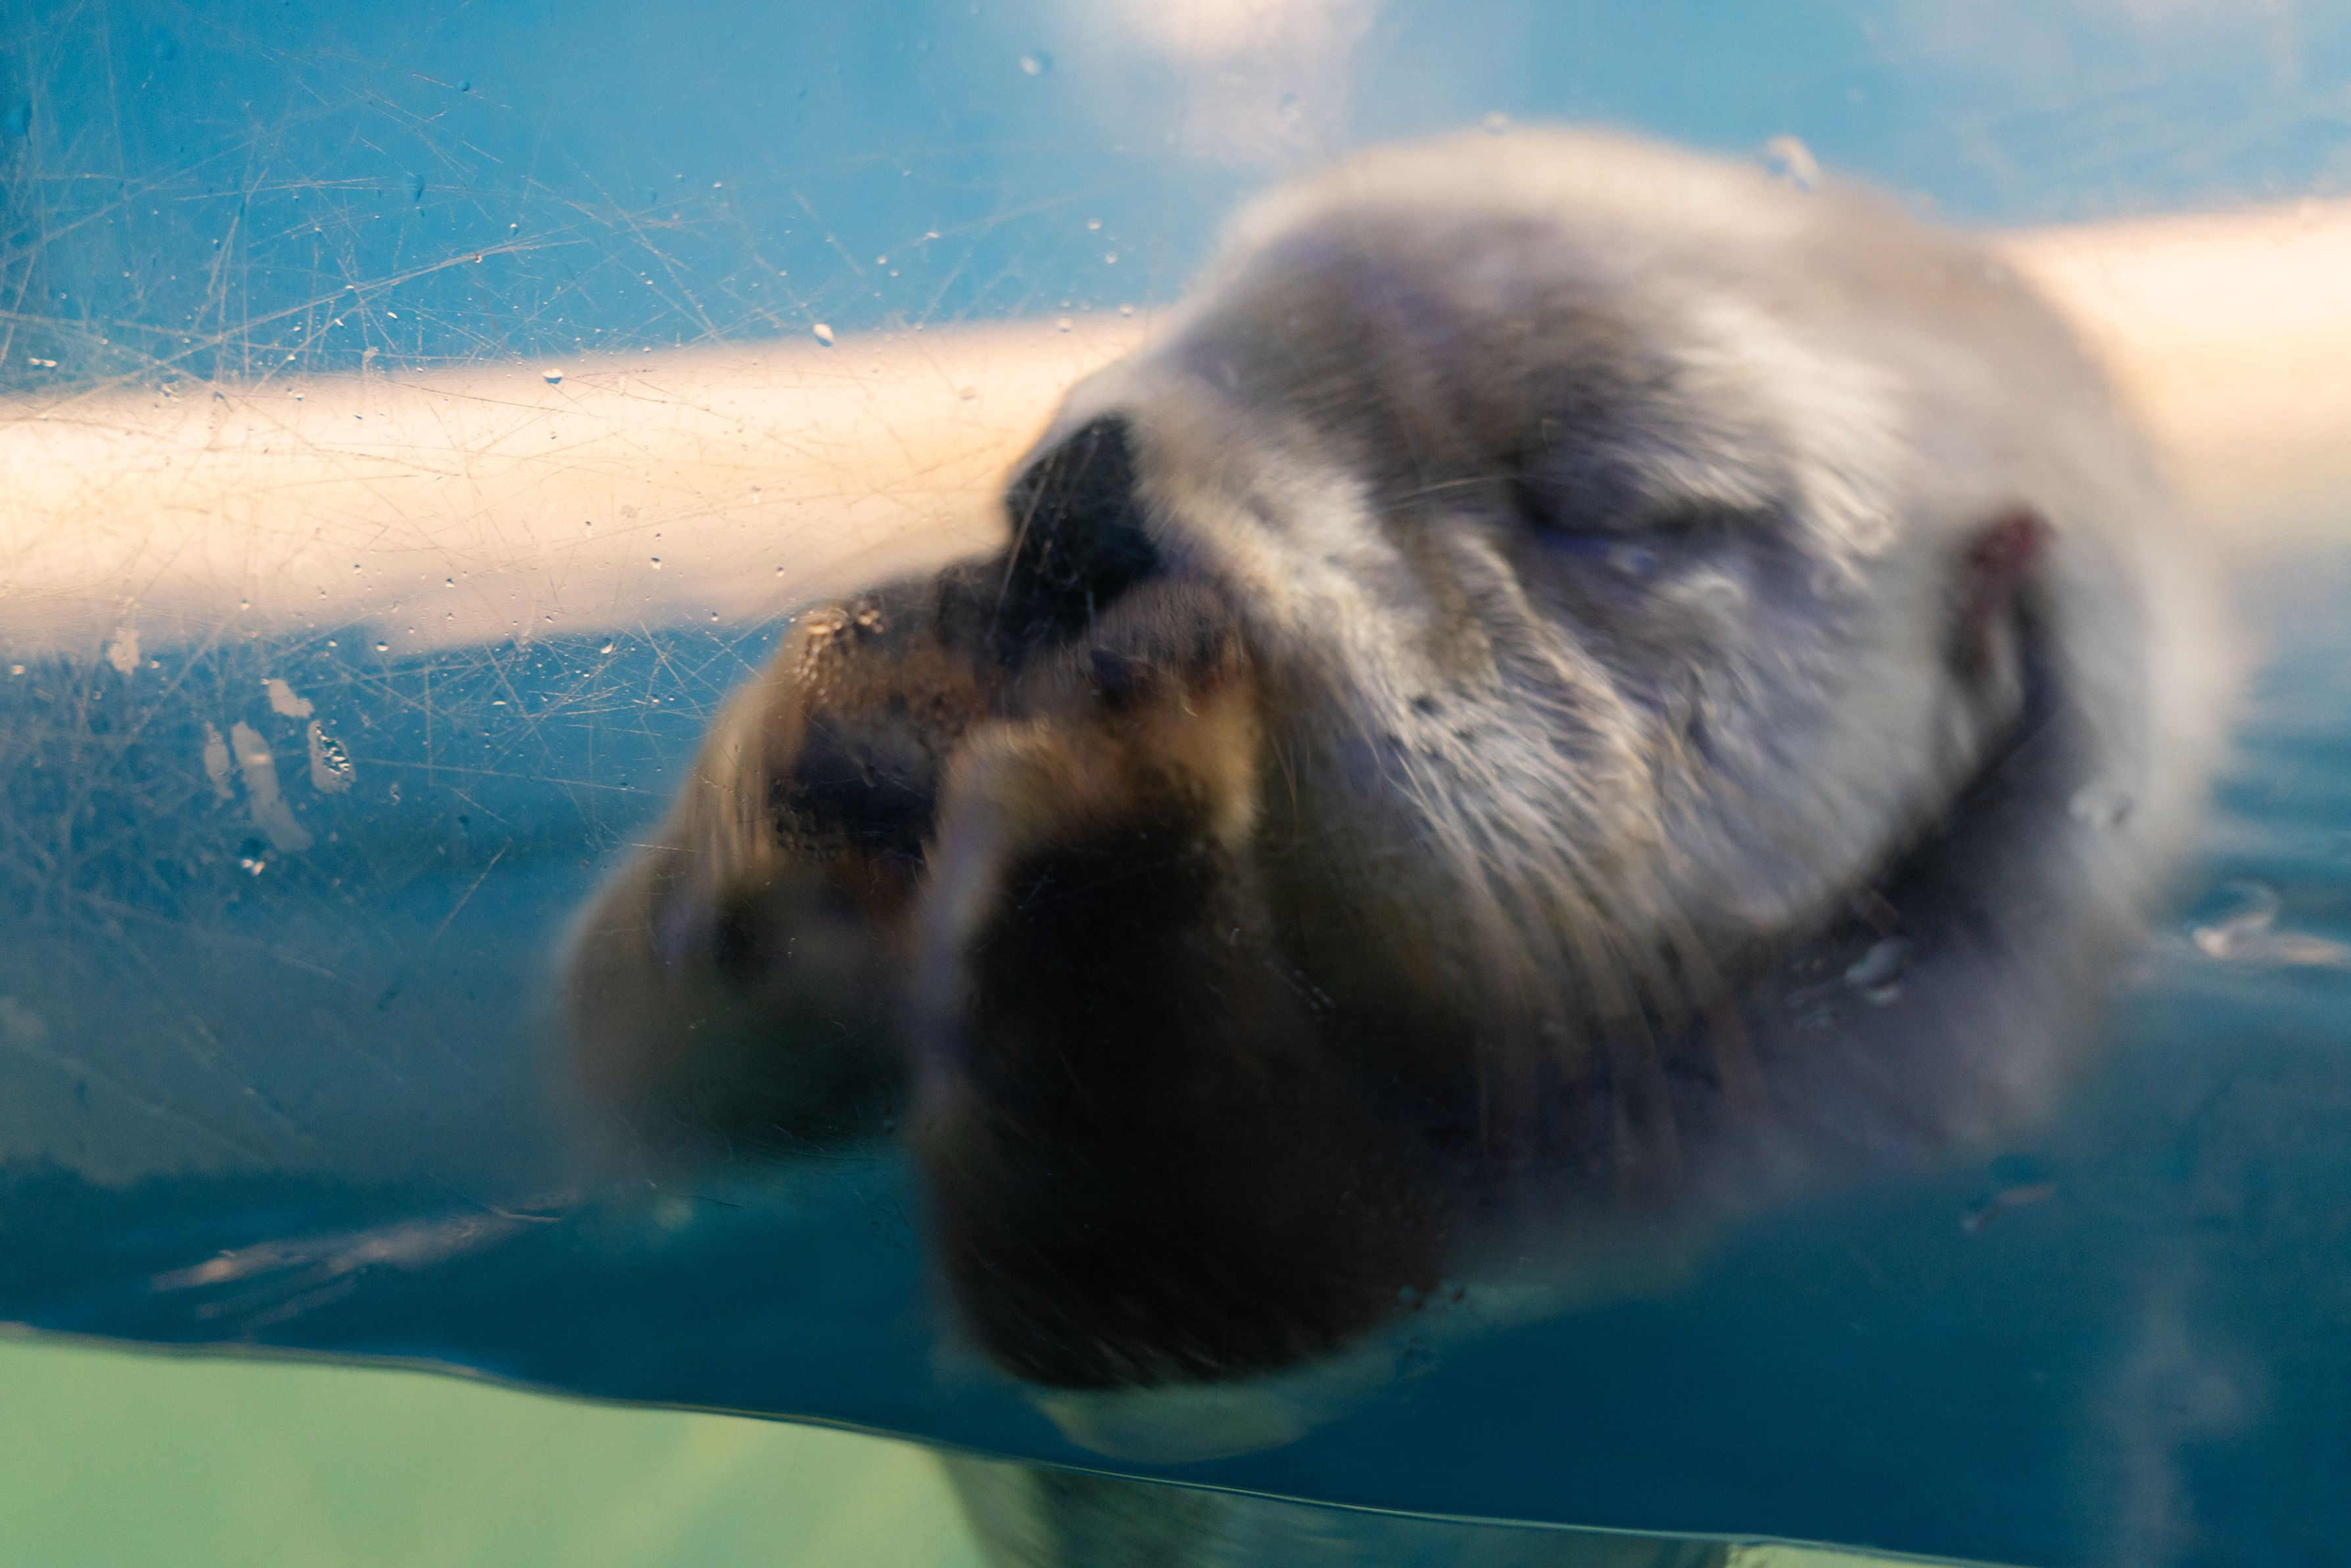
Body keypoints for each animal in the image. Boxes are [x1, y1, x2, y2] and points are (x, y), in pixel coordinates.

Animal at [562, 129, 2225, 1402]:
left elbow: (1167, 1267)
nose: (1088, 486)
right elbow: (625, 1079)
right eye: (1202, 324)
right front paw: (870, 696)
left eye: (1613, 505)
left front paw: (1122, 756)